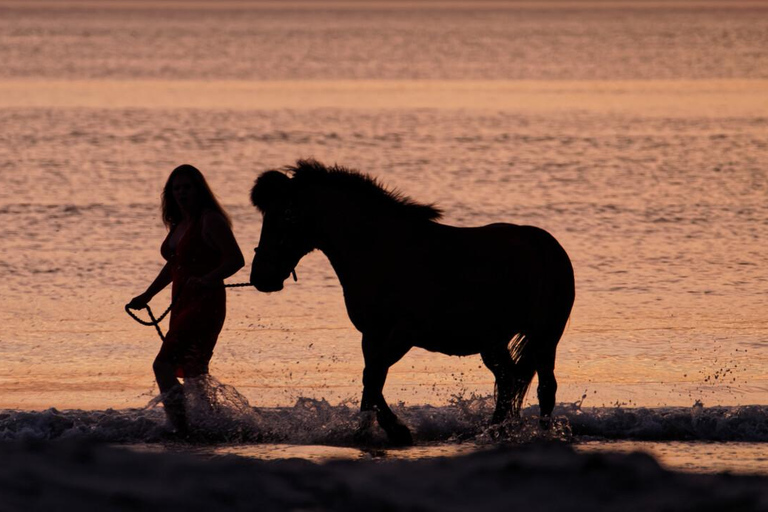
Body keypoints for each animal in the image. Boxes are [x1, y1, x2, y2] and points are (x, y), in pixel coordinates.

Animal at [249, 159, 575, 445]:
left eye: (285, 215)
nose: (260, 276)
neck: (379, 248)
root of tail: (549, 246)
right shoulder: (372, 334)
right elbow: (371, 381)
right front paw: (369, 433)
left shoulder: (403, 333)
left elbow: (373, 377)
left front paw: (393, 431)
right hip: (493, 341)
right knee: (508, 383)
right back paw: (497, 432)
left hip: (546, 336)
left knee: (545, 388)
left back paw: (540, 435)